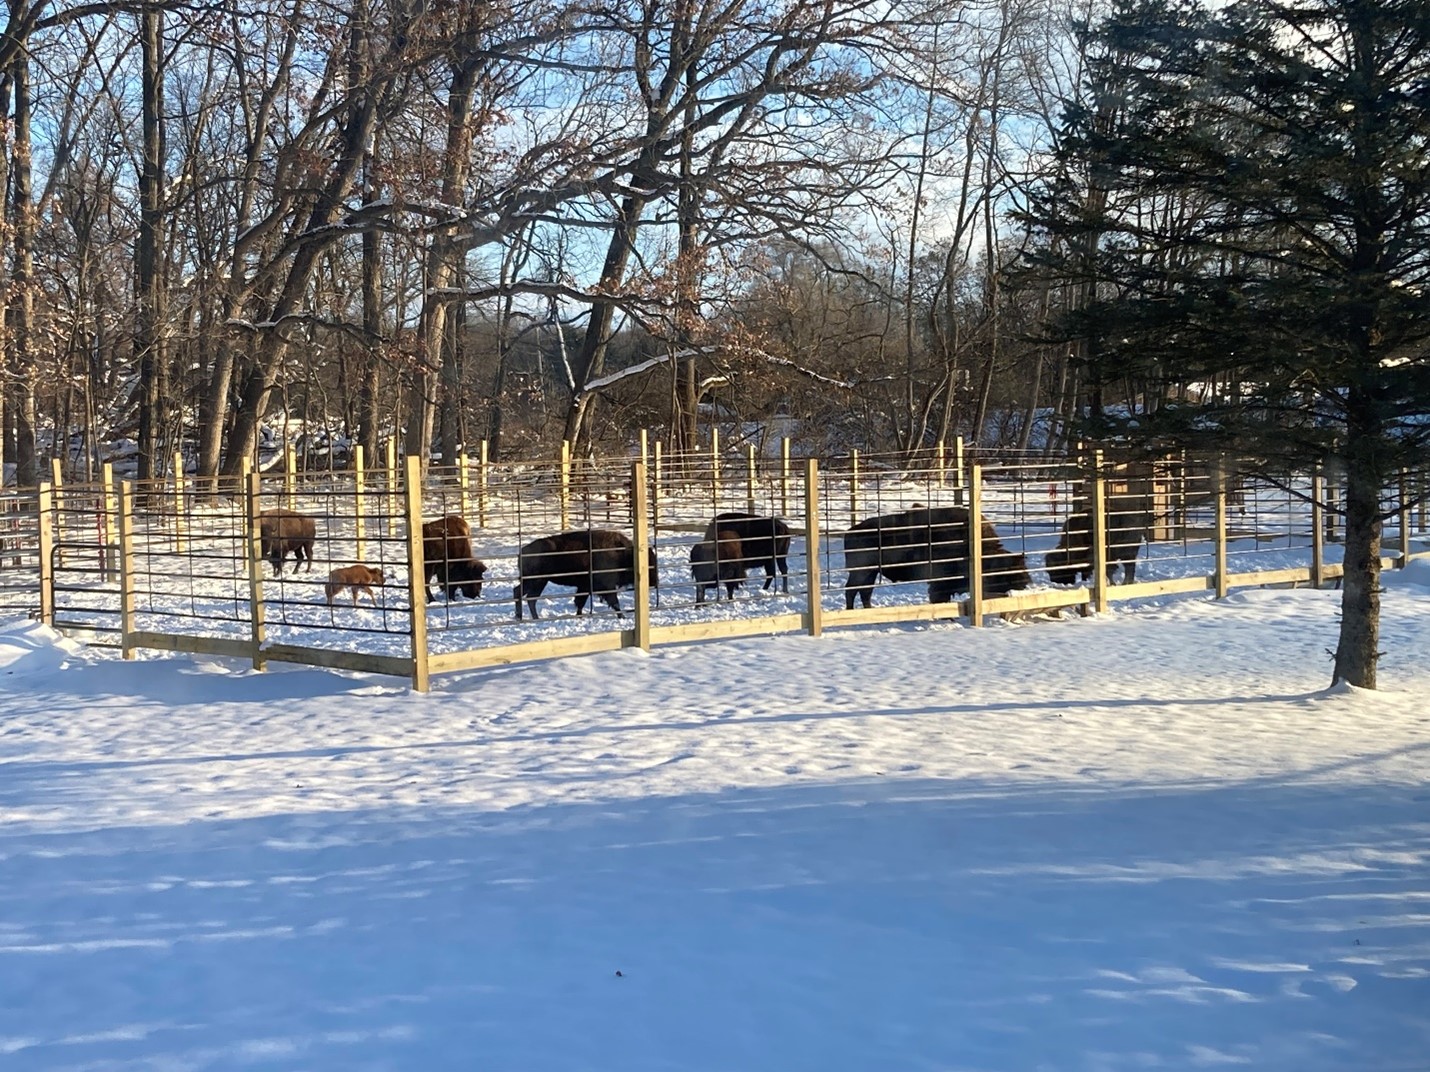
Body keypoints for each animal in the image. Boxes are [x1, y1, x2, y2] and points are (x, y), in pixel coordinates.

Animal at [515, 529, 659, 619]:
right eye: (649, 564)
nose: (654, 582)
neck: (624, 554)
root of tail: (522, 551)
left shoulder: (584, 587)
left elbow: (580, 602)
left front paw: (579, 615)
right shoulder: (606, 587)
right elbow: (614, 602)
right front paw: (622, 616)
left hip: (538, 582)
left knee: (526, 596)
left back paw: (527, 617)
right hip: (535, 581)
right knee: (525, 596)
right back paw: (527, 617)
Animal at [843, 506, 1030, 610]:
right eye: (1009, 569)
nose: (1025, 581)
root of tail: (851, 531)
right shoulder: (940, 582)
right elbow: (938, 597)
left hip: (871, 573)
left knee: (864, 592)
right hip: (861, 572)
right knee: (852, 590)